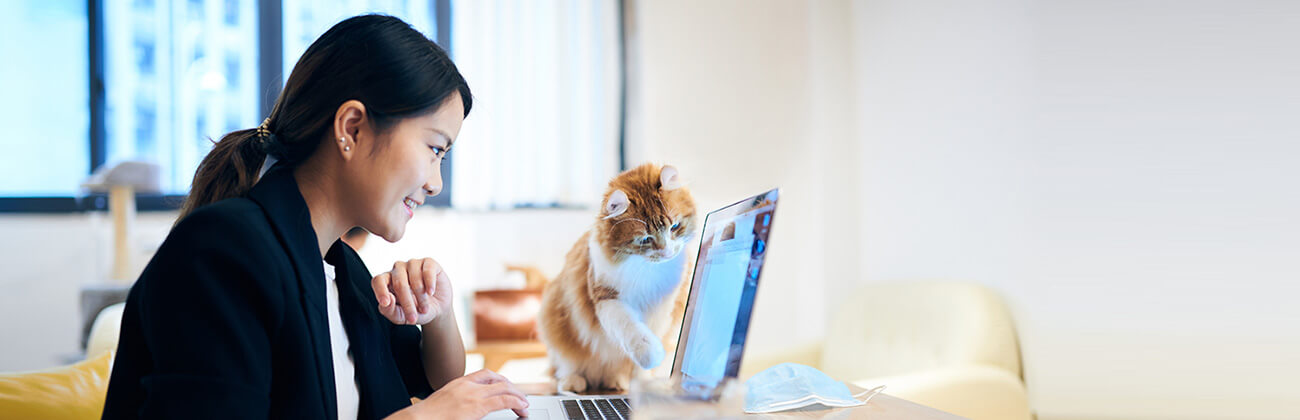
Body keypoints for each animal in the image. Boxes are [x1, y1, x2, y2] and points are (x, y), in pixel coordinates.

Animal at [538, 163, 702, 395]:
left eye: (675, 227)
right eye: (645, 239)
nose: (667, 252)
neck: (647, 271)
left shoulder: (663, 309)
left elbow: (642, 362)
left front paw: (643, 381)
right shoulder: (606, 298)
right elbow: (632, 330)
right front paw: (649, 353)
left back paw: (618, 381)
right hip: (554, 318)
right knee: (565, 363)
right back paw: (574, 381)